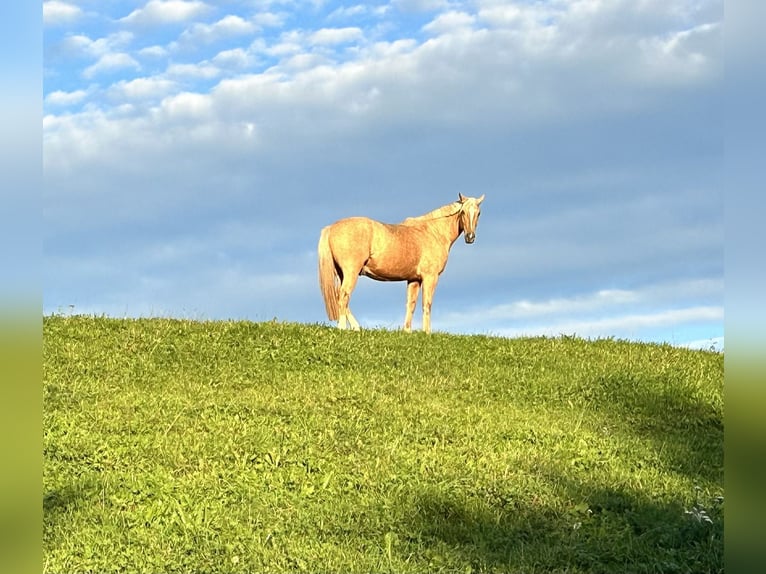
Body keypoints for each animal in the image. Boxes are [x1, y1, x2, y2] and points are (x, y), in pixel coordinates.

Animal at [317, 193, 485, 333]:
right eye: (463, 212)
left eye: (478, 213)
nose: (470, 237)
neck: (433, 232)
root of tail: (331, 227)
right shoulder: (430, 277)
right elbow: (427, 304)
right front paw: (427, 333)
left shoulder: (414, 279)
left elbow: (411, 304)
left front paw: (407, 331)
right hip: (351, 272)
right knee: (343, 296)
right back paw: (343, 328)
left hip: (341, 273)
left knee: (340, 297)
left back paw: (356, 327)